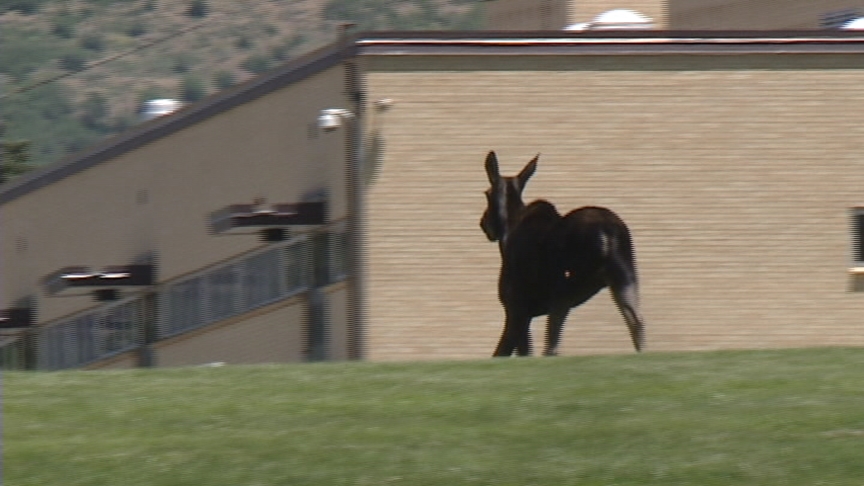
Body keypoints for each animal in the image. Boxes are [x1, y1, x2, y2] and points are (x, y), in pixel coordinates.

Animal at [479, 151, 645, 357]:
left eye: (486, 193)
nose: (483, 223)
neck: (507, 229)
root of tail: (608, 233)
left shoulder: (516, 309)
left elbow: (503, 352)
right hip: (623, 277)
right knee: (637, 323)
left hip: (565, 288)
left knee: (552, 345)